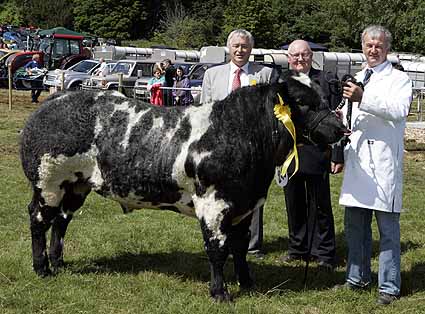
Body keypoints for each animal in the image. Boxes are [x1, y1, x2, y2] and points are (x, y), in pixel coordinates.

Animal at [19, 69, 346, 302]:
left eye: (325, 97)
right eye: (301, 102)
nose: (340, 129)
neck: (241, 133)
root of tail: (56, 99)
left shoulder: (246, 204)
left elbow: (240, 247)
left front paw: (248, 283)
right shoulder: (213, 204)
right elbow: (217, 249)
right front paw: (220, 293)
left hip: (76, 185)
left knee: (61, 221)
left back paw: (59, 262)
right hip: (48, 183)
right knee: (39, 219)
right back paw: (42, 267)